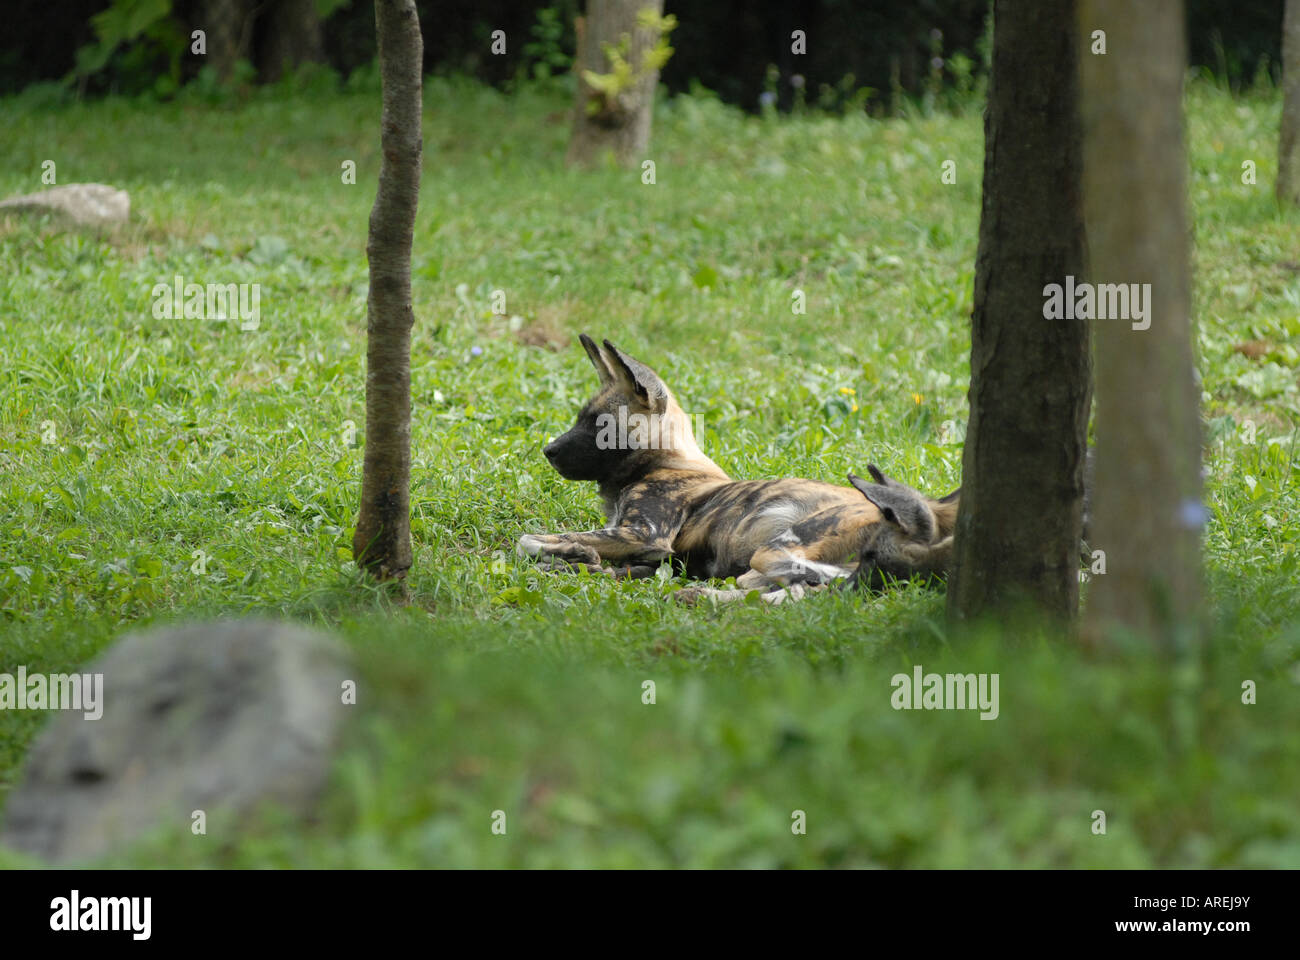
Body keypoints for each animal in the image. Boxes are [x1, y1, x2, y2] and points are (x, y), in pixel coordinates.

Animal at [512, 335, 961, 600]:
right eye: (580, 418)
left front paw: (572, 552)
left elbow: (526, 540)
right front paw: (578, 558)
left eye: (596, 424)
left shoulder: (645, 533)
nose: (548, 450)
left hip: (780, 545)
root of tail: (936, 511)